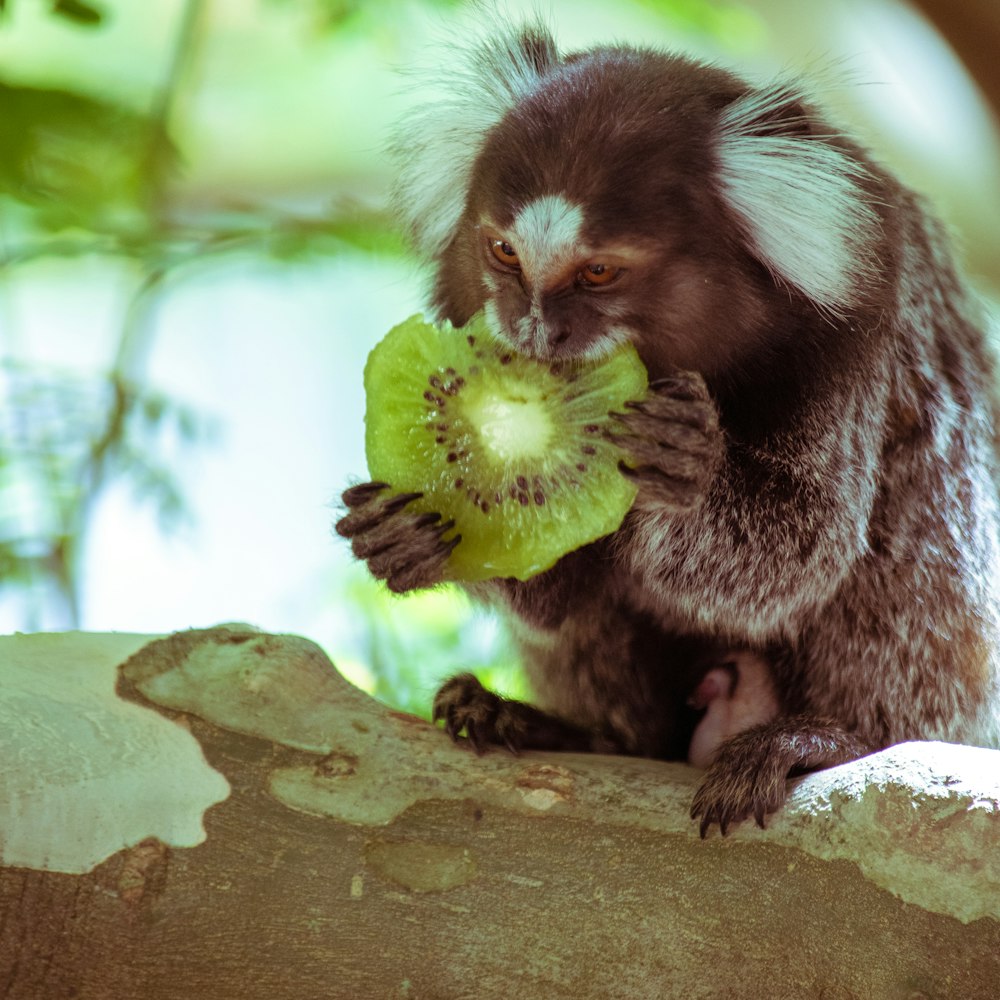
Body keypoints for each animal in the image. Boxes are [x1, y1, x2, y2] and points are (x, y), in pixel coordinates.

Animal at [338, 15, 1000, 832]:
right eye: (503, 253)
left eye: (598, 272)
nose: (534, 330)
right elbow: (556, 595)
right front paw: (413, 535)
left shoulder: (862, 313)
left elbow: (803, 553)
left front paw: (688, 467)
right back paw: (575, 732)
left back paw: (827, 737)